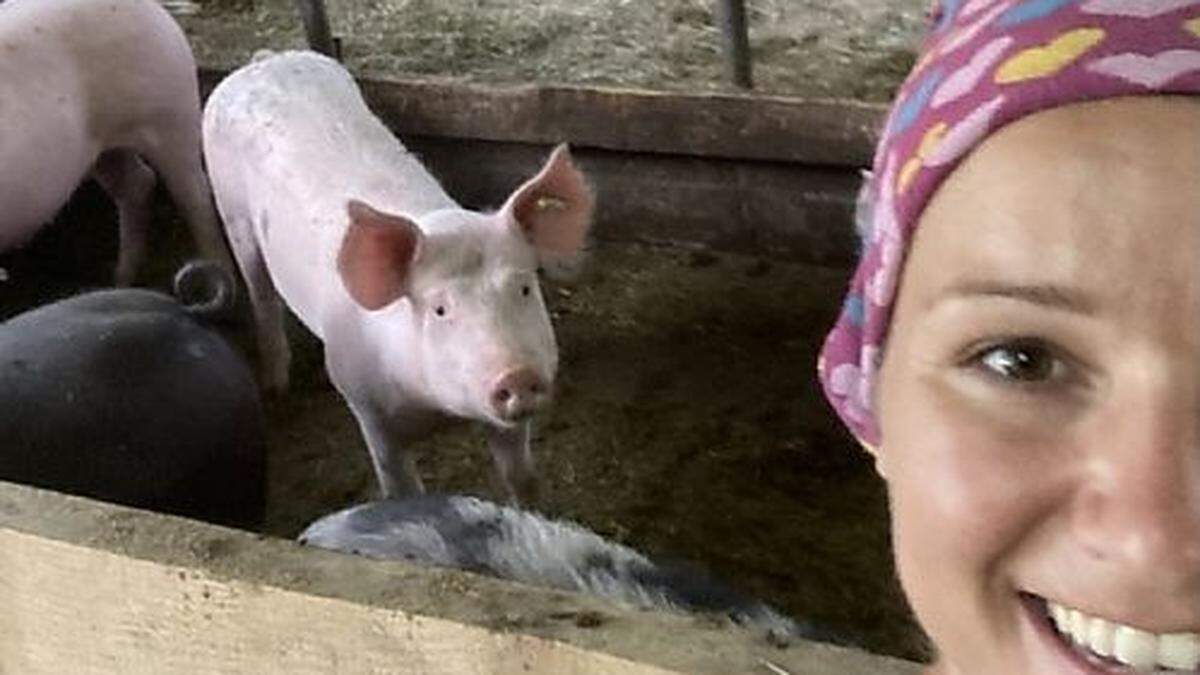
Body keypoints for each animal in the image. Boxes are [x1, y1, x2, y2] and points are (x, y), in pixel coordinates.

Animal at [0, 0, 229, 282]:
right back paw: (120, 279)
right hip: (104, 150)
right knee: (138, 183)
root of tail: (157, 10)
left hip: (173, 115)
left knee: (196, 195)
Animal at [202, 52, 595, 502]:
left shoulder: (507, 425)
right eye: (440, 309)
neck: (438, 410)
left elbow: (522, 478)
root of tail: (264, 61)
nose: (518, 376)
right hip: (232, 212)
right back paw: (276, 387)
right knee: (261, 293)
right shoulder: (367, 406)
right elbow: (399, 484)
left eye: (525, 288)